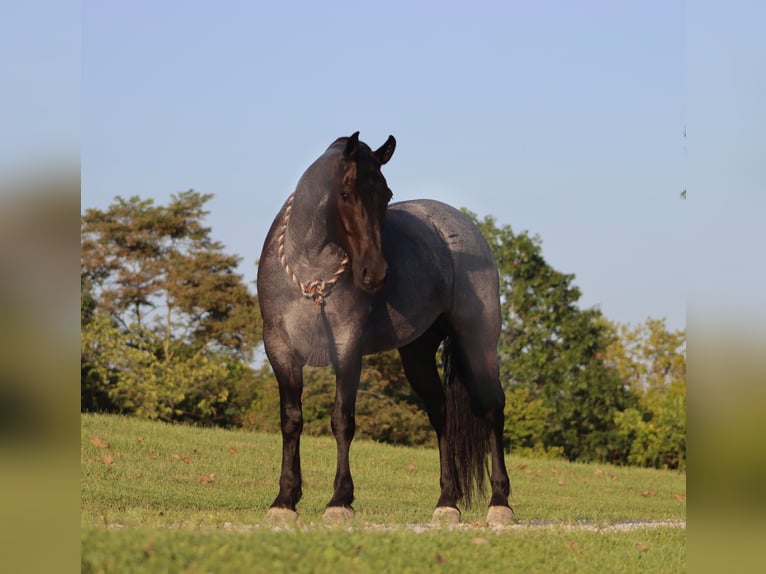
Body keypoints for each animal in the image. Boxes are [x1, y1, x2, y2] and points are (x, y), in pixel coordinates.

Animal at [258, 133, 516, 528]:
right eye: (346, 193)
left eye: (387, 193)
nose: (374, 273)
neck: (311, 273)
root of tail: (461, 225)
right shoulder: (280, 349)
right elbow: (291, 421)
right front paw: (285, 501)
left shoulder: (347, 348)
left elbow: (342, 420)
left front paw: (340, 500)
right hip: (417, 353)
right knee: (441, 413)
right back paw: (447, 502)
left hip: (479, 342)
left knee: (491, 408)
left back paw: (500, 503)